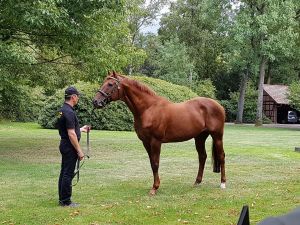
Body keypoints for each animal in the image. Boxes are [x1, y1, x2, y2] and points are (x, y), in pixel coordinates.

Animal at [92, 71, 226, 194]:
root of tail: (219, 105)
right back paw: (197, 182)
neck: (148, 109)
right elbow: (152, 163)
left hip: (217, 136)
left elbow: (156, 163)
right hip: (199, 137)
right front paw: (154, 186)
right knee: (202, 156)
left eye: (110, 84)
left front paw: (155, 188)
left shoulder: (156, 141)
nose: (95, 101)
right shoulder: (145, 142)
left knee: (221, 156)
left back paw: (223, 183)